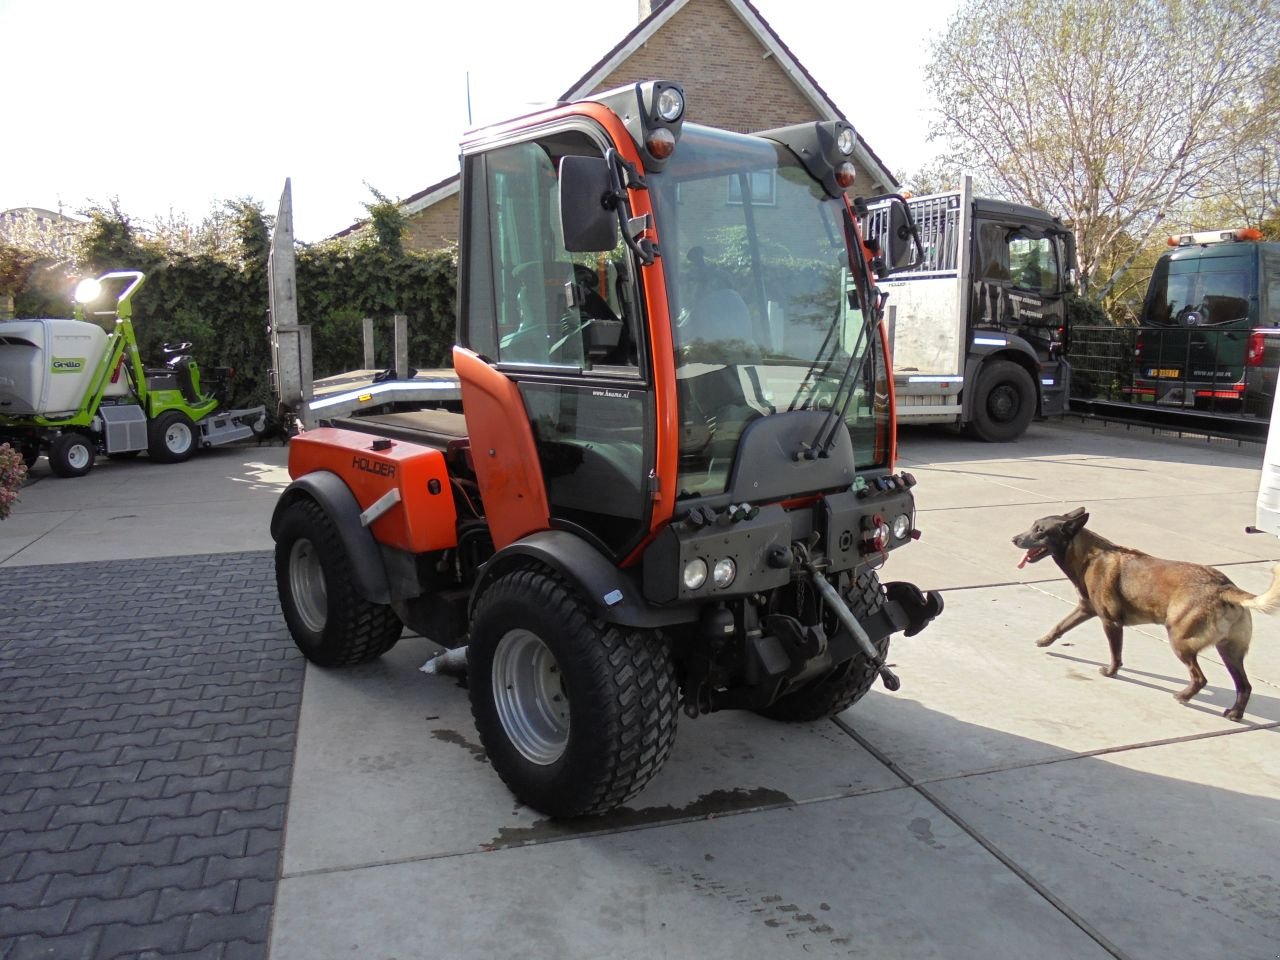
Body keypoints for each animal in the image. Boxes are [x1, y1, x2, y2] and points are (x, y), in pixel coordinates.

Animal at [1008, 512, 1280, 721]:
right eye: (1033, 526)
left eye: (1040, 530)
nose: (1014, 538)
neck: (1088, 555)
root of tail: (1224, 587)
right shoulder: (1085, 608)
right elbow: (1061, 625)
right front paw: (1045, 640)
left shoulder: (1110, 622)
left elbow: (1115, 653)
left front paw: (1111, 671)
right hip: (1230, 651)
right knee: (1244, 686)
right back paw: (1235, 713)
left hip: (1180, 640)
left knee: (1200, 678)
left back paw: (1183, 696)